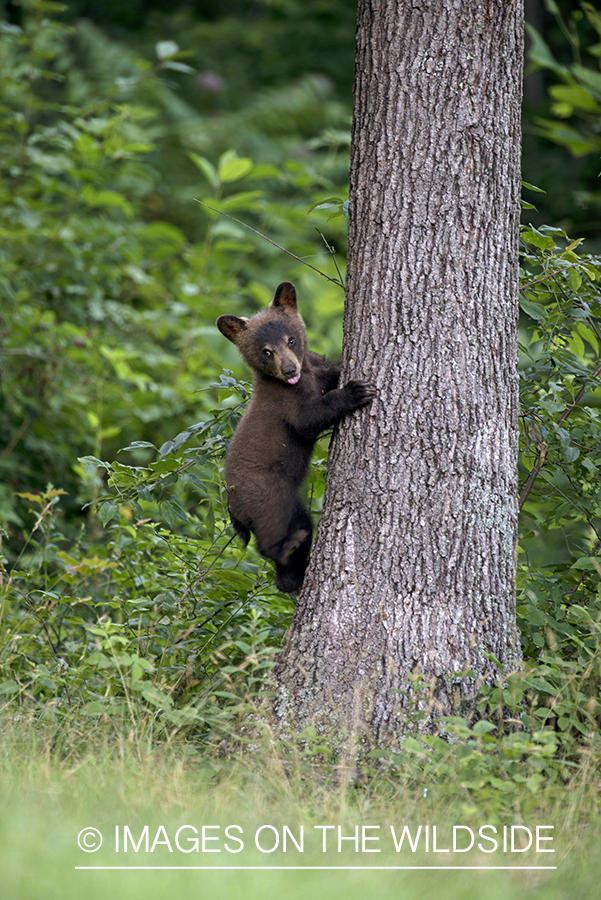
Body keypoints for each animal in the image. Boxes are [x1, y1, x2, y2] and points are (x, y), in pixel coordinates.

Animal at [216, 281, 376, 594]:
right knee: (269, 538)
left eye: (291, 340)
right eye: (266, 351)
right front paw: (355, 392)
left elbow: (331, 369)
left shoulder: (316, 369)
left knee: (299, 527)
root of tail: (233, 509)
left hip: (292, 506)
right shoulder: (285, 402)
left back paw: (292, 576)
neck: (301, 379)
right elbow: (308, 420)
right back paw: (287, 548)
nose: (290, 369)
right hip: (269, 496)